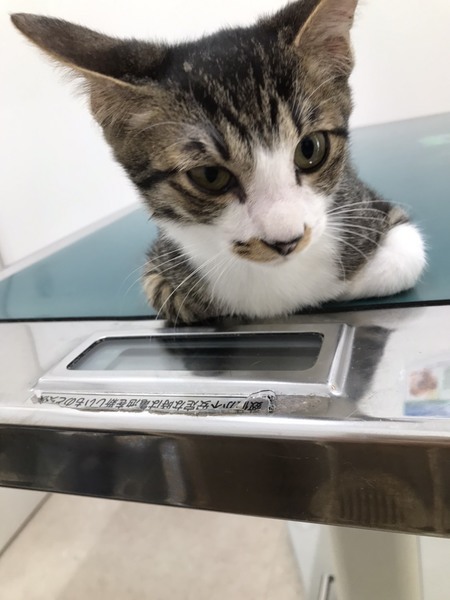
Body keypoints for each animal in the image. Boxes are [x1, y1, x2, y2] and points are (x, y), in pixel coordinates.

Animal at [12, 0, 426, 324]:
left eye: (310, 149)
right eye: (209, 175)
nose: (287, 241)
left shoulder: (369, 208)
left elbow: (404, 258)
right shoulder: (161, 258)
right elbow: (166, 292)